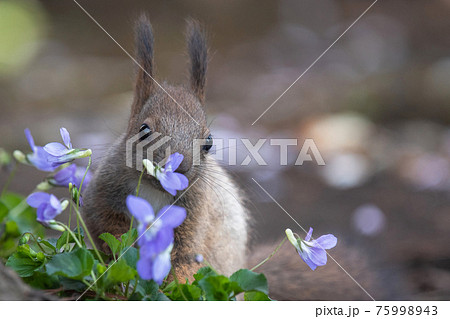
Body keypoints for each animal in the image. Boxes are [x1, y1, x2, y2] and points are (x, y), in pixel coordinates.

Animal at [82, 14, 384, 300]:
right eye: (143, 130)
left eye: (209, 142)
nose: (177, 168)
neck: (154, 190)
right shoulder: (106, 193)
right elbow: (107, 227)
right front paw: (122, 256)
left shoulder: (195, 214)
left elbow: (184, 254)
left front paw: (175, 285)